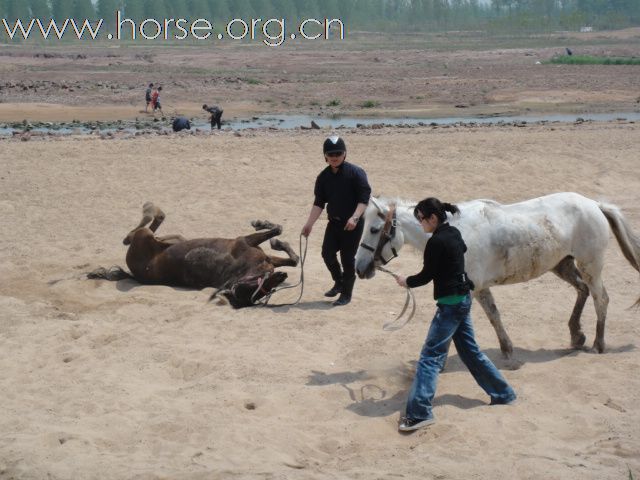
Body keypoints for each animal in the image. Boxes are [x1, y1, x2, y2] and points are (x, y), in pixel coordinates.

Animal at [90, 202, 300, 308]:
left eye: (263, 293)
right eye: (255, 289)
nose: (282, 277)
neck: (246, 269)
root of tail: (133, 273)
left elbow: (294, 260)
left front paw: (278, 243)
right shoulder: (244, 241)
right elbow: (278, 231)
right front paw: (264, 228)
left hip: (169, 239)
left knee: (150, 232)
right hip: (146, 236)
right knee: (140, 229)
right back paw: (151, 209)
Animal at [356, 191, 640, 356]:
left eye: (374, 229)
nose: (359, 268)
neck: (454, 231)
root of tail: (595, 205)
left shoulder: (471, 289)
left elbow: (469, 322)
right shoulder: (478, 289)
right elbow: (490, 318)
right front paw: (506, 349)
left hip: (590, 265)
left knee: (601, 298)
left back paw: (598, 344)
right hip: (562, 265)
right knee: (582, 290)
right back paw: (576, 335)